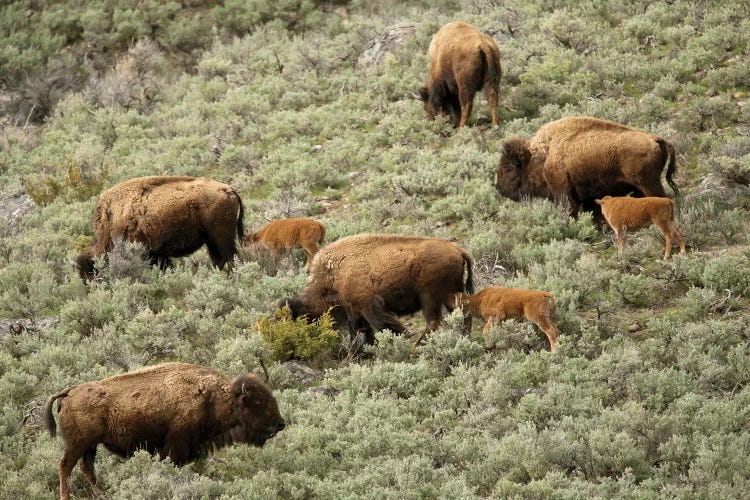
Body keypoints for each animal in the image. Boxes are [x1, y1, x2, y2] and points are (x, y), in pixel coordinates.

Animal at [45, 364, 284, 500]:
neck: (211, 397)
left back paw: (101, 493)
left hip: (90, 446)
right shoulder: (175, 446)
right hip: (77, 444)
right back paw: (66, 497)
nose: (280, 424)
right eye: (258, 402)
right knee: (65, 466)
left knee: (86, 468)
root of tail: (69, 393)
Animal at [73, 176, 244, 282]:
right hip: (211, 240)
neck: (111, 219)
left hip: (220, 237)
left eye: (91, 274)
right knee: (220, 260)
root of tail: (229, 190)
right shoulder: (158, 254)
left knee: (230, 257)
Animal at [280, 232, 472, 346]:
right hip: (450, 295)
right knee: (462, 315)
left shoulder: (367, 304)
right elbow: (360, 332)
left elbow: (381, 325)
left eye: (299, 318)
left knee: (433, 321)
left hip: (429, 296)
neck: (332, 274)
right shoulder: (354, 310)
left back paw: (417, 346)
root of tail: (458, 250)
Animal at [496, 117, 680, 219]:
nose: (498, 187)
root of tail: (655, 138)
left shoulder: (562, 192)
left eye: (507, 168)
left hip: (648, 183)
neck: (543, 155)